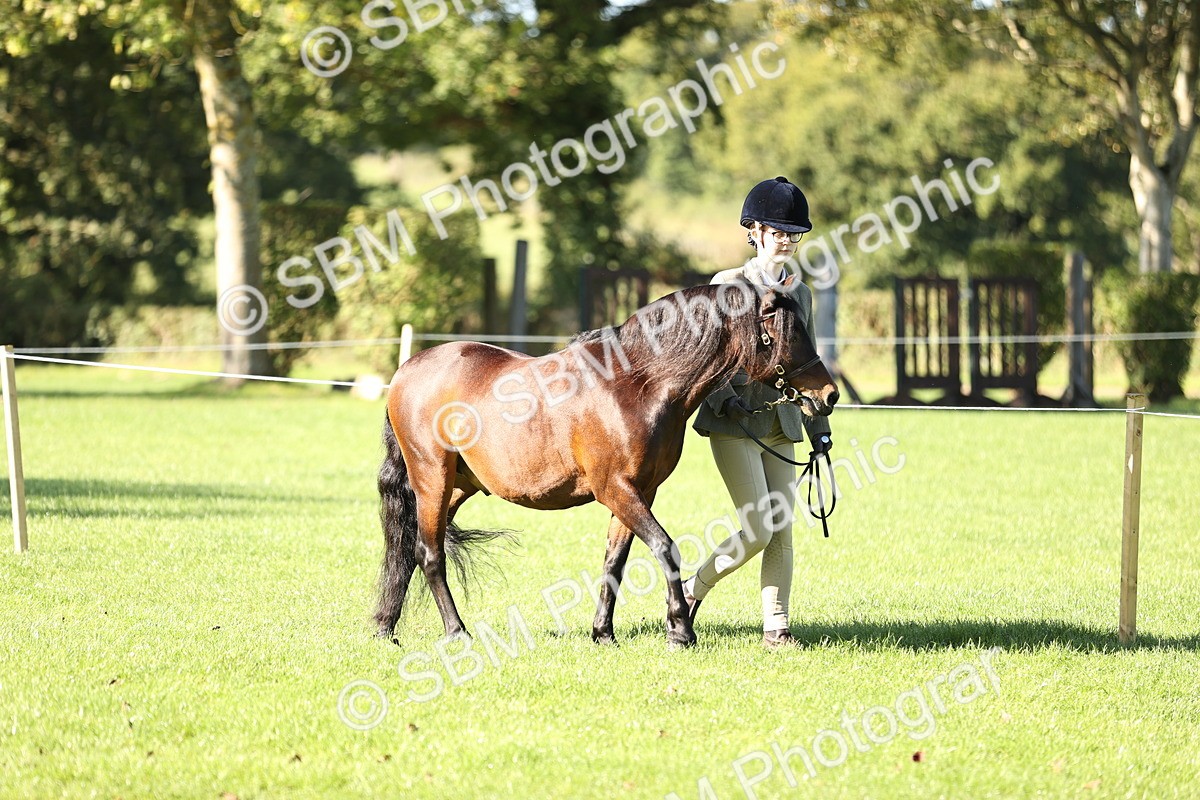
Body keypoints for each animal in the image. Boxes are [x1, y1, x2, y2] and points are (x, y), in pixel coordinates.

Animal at [375, 279, 839, 648]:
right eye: (788, 332)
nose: (829, 394)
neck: (636, 384)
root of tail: (407, 370)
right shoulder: (615, 489)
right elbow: (665, 547)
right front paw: (680, 631)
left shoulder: (638, 492)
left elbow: (614, 561)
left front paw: (603, 632)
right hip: (432, 480)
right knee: (430, 554)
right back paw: (456, 632)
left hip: (456, 487)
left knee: (408, 549)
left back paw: (385, 627)